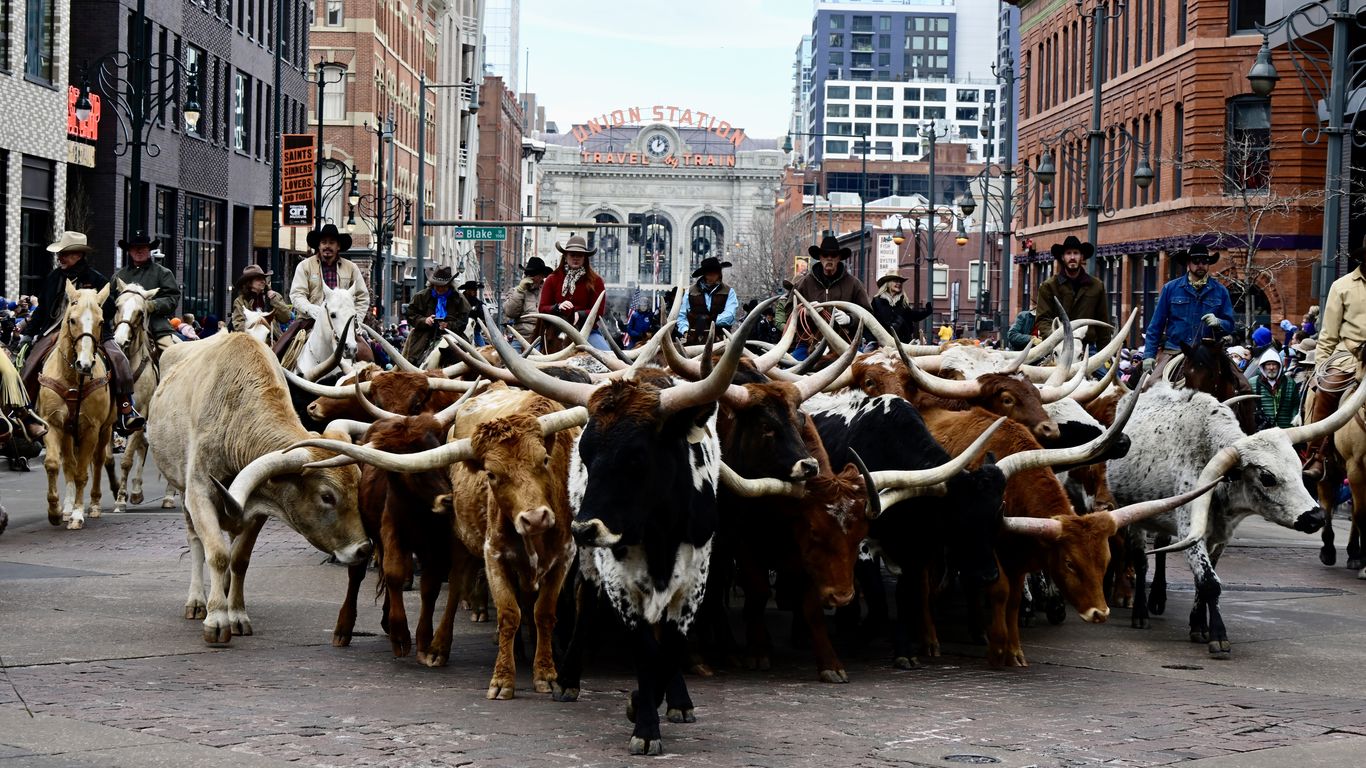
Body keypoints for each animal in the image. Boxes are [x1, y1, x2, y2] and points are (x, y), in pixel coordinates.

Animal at [38, 281, 116, 524]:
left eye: (101, 321)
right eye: (72, 320)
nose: (85, 364)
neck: (72, 378)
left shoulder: (91, 428)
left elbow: (83, 472)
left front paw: (78, 514)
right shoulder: (53, 424)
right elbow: (54, 464)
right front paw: (55, 510)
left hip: (106, 429)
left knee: (98, 461)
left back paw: (94, 505)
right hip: (69, 432)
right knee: (69, 464)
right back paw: (66, 507)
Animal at [110, 280, 169, 508]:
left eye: (140, 312)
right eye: (117, 306)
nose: (120, 340)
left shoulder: (140, 412)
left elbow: (126, 459)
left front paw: (120, 499)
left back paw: (169, 497)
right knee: (144, 445)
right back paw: (136, 491)